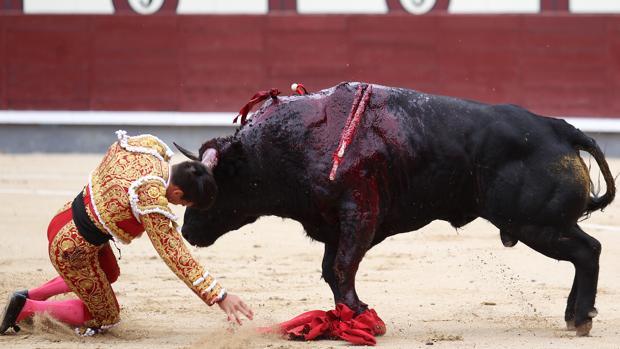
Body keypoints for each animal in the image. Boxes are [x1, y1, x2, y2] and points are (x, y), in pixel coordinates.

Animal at [176, 81, 616, 334]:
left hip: (536, 224)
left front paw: (358, 314)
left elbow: (342, 267)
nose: (186, 231)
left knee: (588, 251)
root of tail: (558, 128)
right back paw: (575, 316)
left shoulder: (359, 214)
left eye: (211, 189)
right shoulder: (335, 224)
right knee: (587, 251)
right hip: (542, 224)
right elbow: (332, 269)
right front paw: (347, 316)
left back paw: (580, 319)